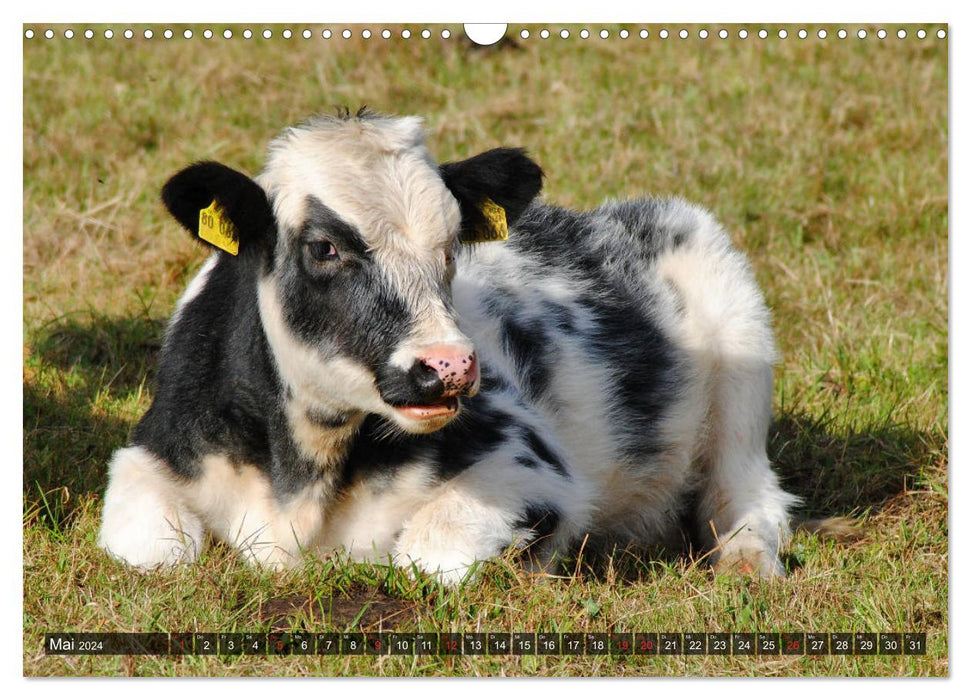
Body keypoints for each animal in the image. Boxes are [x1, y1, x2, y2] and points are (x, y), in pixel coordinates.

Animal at [97, 109, 796, 584]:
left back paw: (744, 564)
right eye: (324, 247)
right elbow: (157, 552)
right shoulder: (149, 453)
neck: (300, 481)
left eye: (453, 243)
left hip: (738, 325)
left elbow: (427, 554)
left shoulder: (532, 466)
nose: (451, 366)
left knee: (747, 495)